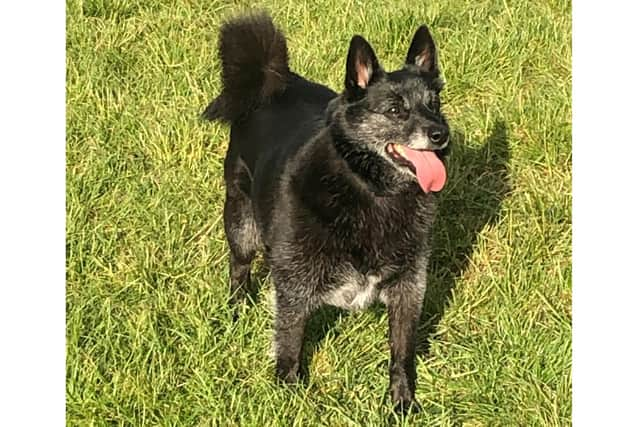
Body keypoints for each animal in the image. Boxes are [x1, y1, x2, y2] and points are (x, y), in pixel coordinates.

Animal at [204, 14, 450, 414]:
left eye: (435, 103)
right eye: (395, 110)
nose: (441, 134)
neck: (369, 189)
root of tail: (273, 78)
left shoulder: (409, 285)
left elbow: (402, 351)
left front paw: (403, 403)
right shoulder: (294, 286)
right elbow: (289, 344)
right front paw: (288, 396)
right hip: (241, 224)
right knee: (239, 268)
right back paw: (236, 309)